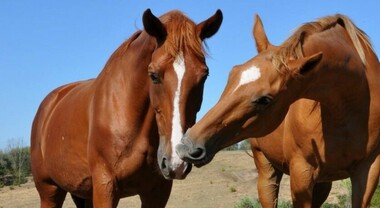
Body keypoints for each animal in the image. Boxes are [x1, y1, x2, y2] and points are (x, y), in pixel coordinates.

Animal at [31, 8, 223, 207]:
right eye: (153, 75)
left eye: (204, 75)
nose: (176, 161)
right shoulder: (105, 187)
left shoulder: (157, 192)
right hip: (50, 191)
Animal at [177, 13, 380, 207]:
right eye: (233, 74)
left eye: (265, 100)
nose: (186, 146)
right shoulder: (301, 173)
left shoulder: (368, 171)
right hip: (267, 172)